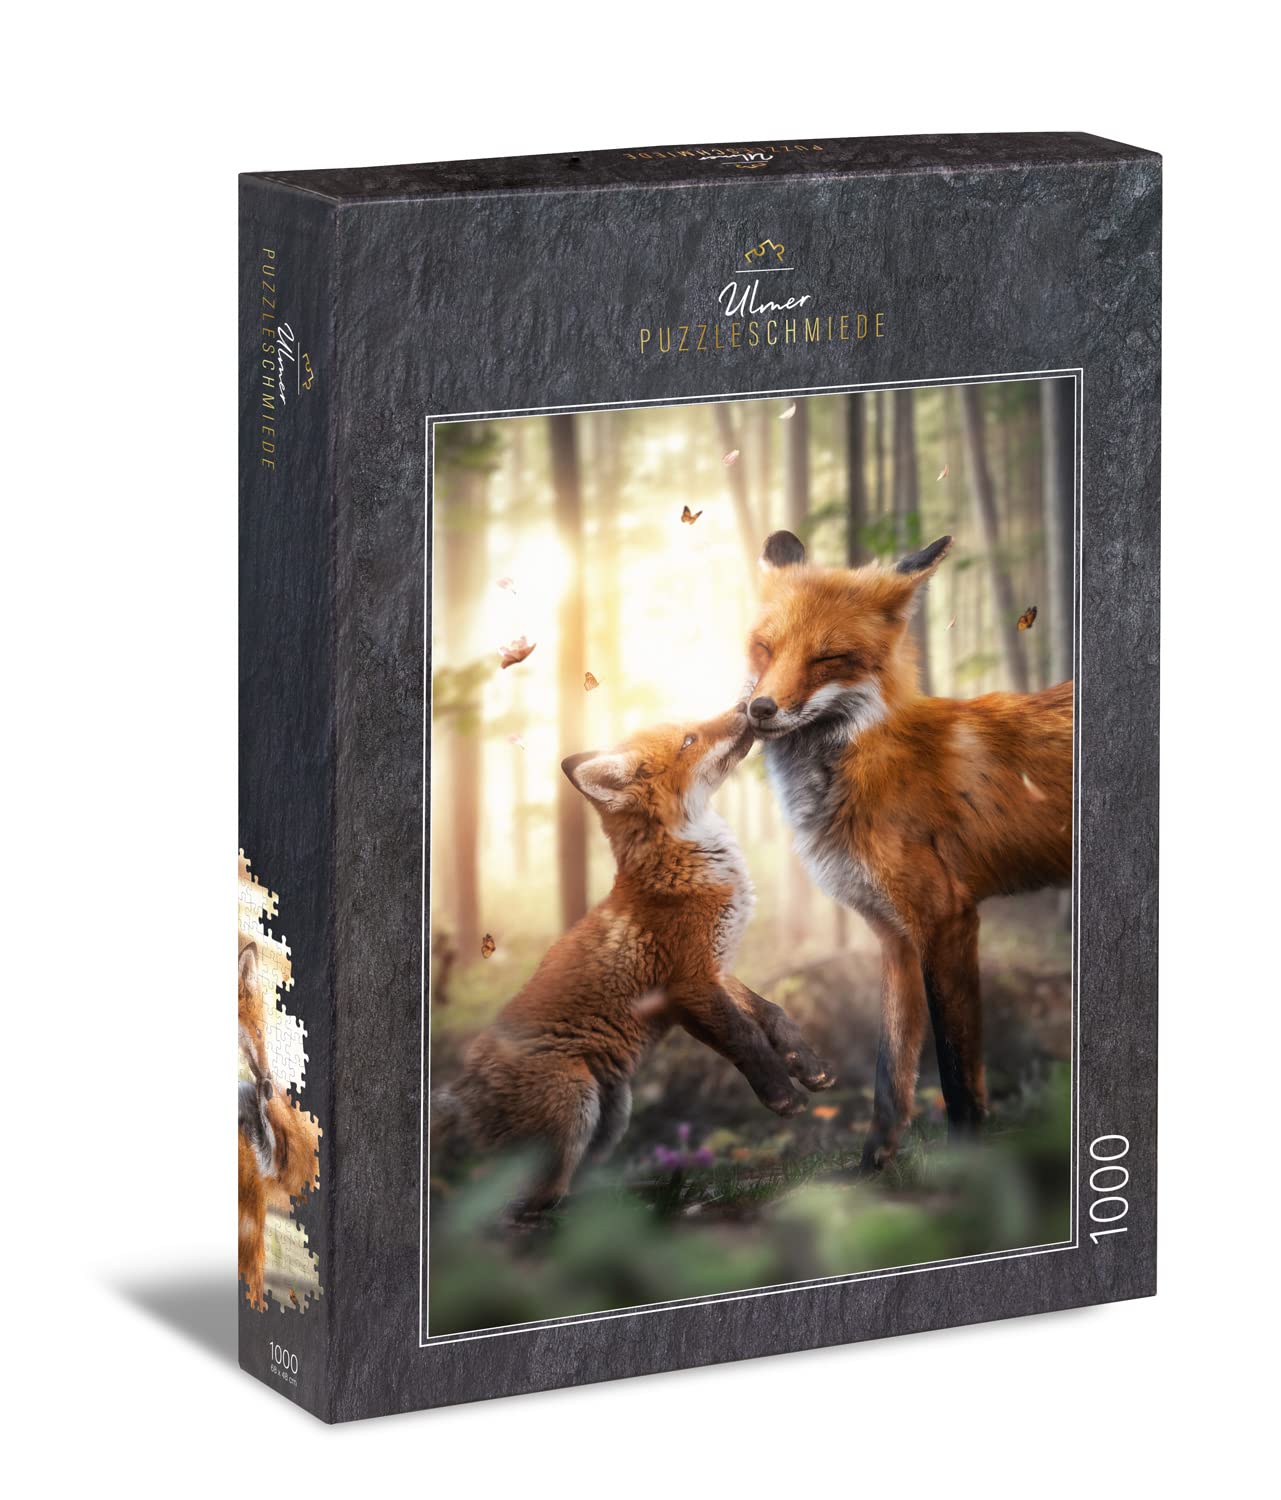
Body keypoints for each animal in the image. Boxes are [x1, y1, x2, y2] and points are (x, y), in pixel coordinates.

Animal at [433, 705, 834, 1213]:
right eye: (689, 740)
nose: (748, 707)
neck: (689, 866)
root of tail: (464, 1088)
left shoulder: (717, 968)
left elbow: (775, 1015)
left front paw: (809, 1066)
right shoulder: (687, 987)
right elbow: (745, 1037)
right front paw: (782, 1095)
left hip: (613, 1111)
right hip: (576, 1098)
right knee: (526, 1202)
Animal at [746, 529, 1072, 1169]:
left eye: (827, 658)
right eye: (765, 648)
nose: (760, 709)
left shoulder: (946, 920)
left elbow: (956, 1073)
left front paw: (967, 1165)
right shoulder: (892, 935)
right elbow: (890, 1072)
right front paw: (872, 1167)